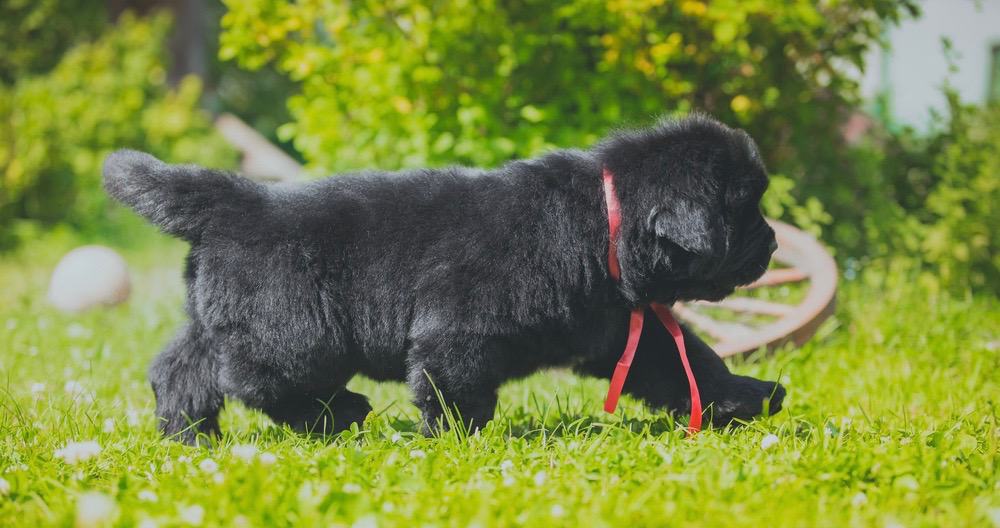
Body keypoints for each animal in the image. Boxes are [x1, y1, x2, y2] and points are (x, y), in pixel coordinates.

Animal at [103, 114, 788, 442]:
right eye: (744, 210)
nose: (777, 240)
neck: (600, 225)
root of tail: (237, 199)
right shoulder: (461, 328)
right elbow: (455, 384)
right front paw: (460, 438)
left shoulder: (619, 328)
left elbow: (687, 362)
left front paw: (745, 397)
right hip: (293, 329)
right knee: (254, 379)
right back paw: (338, 413)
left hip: (215, 316)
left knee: (180, 369)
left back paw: (190, 437)